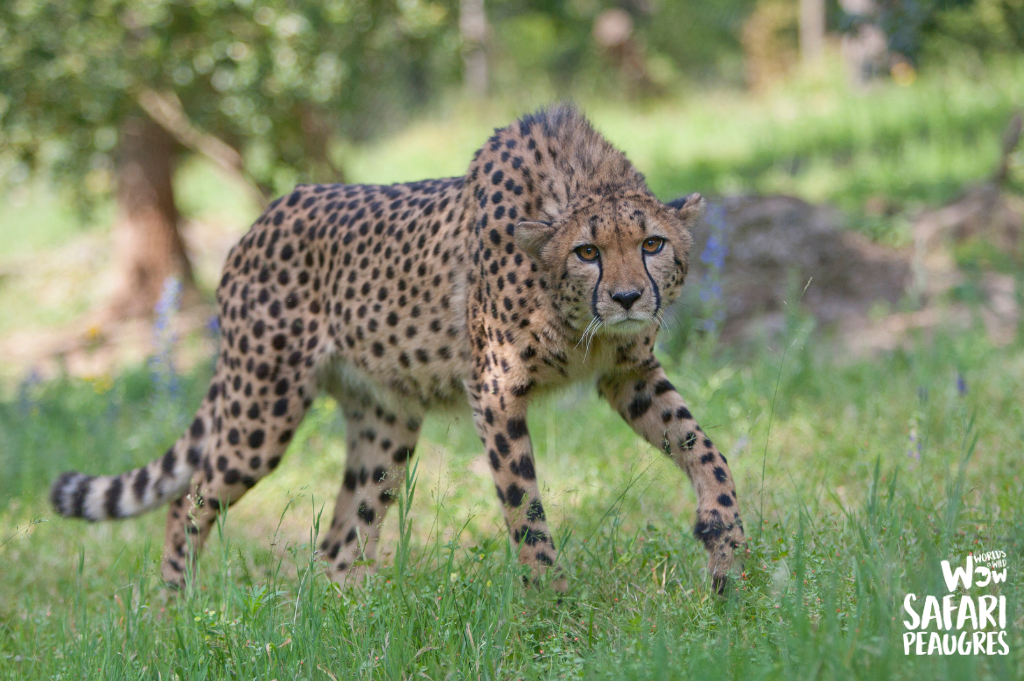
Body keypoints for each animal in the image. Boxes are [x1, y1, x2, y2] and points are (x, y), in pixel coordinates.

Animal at [51, 103, 745, 593]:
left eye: (653, 244)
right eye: (588, 252)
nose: (628, 298)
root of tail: (264, 216)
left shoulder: (628, 372)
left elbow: (702, 446)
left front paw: (726, 543)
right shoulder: (494, 389)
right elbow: (524, 506)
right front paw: (551, 604)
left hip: (384, 423)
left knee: (339, 542)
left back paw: (353, 625)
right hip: (261, 408)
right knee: (187, 503)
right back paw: (174, 615)